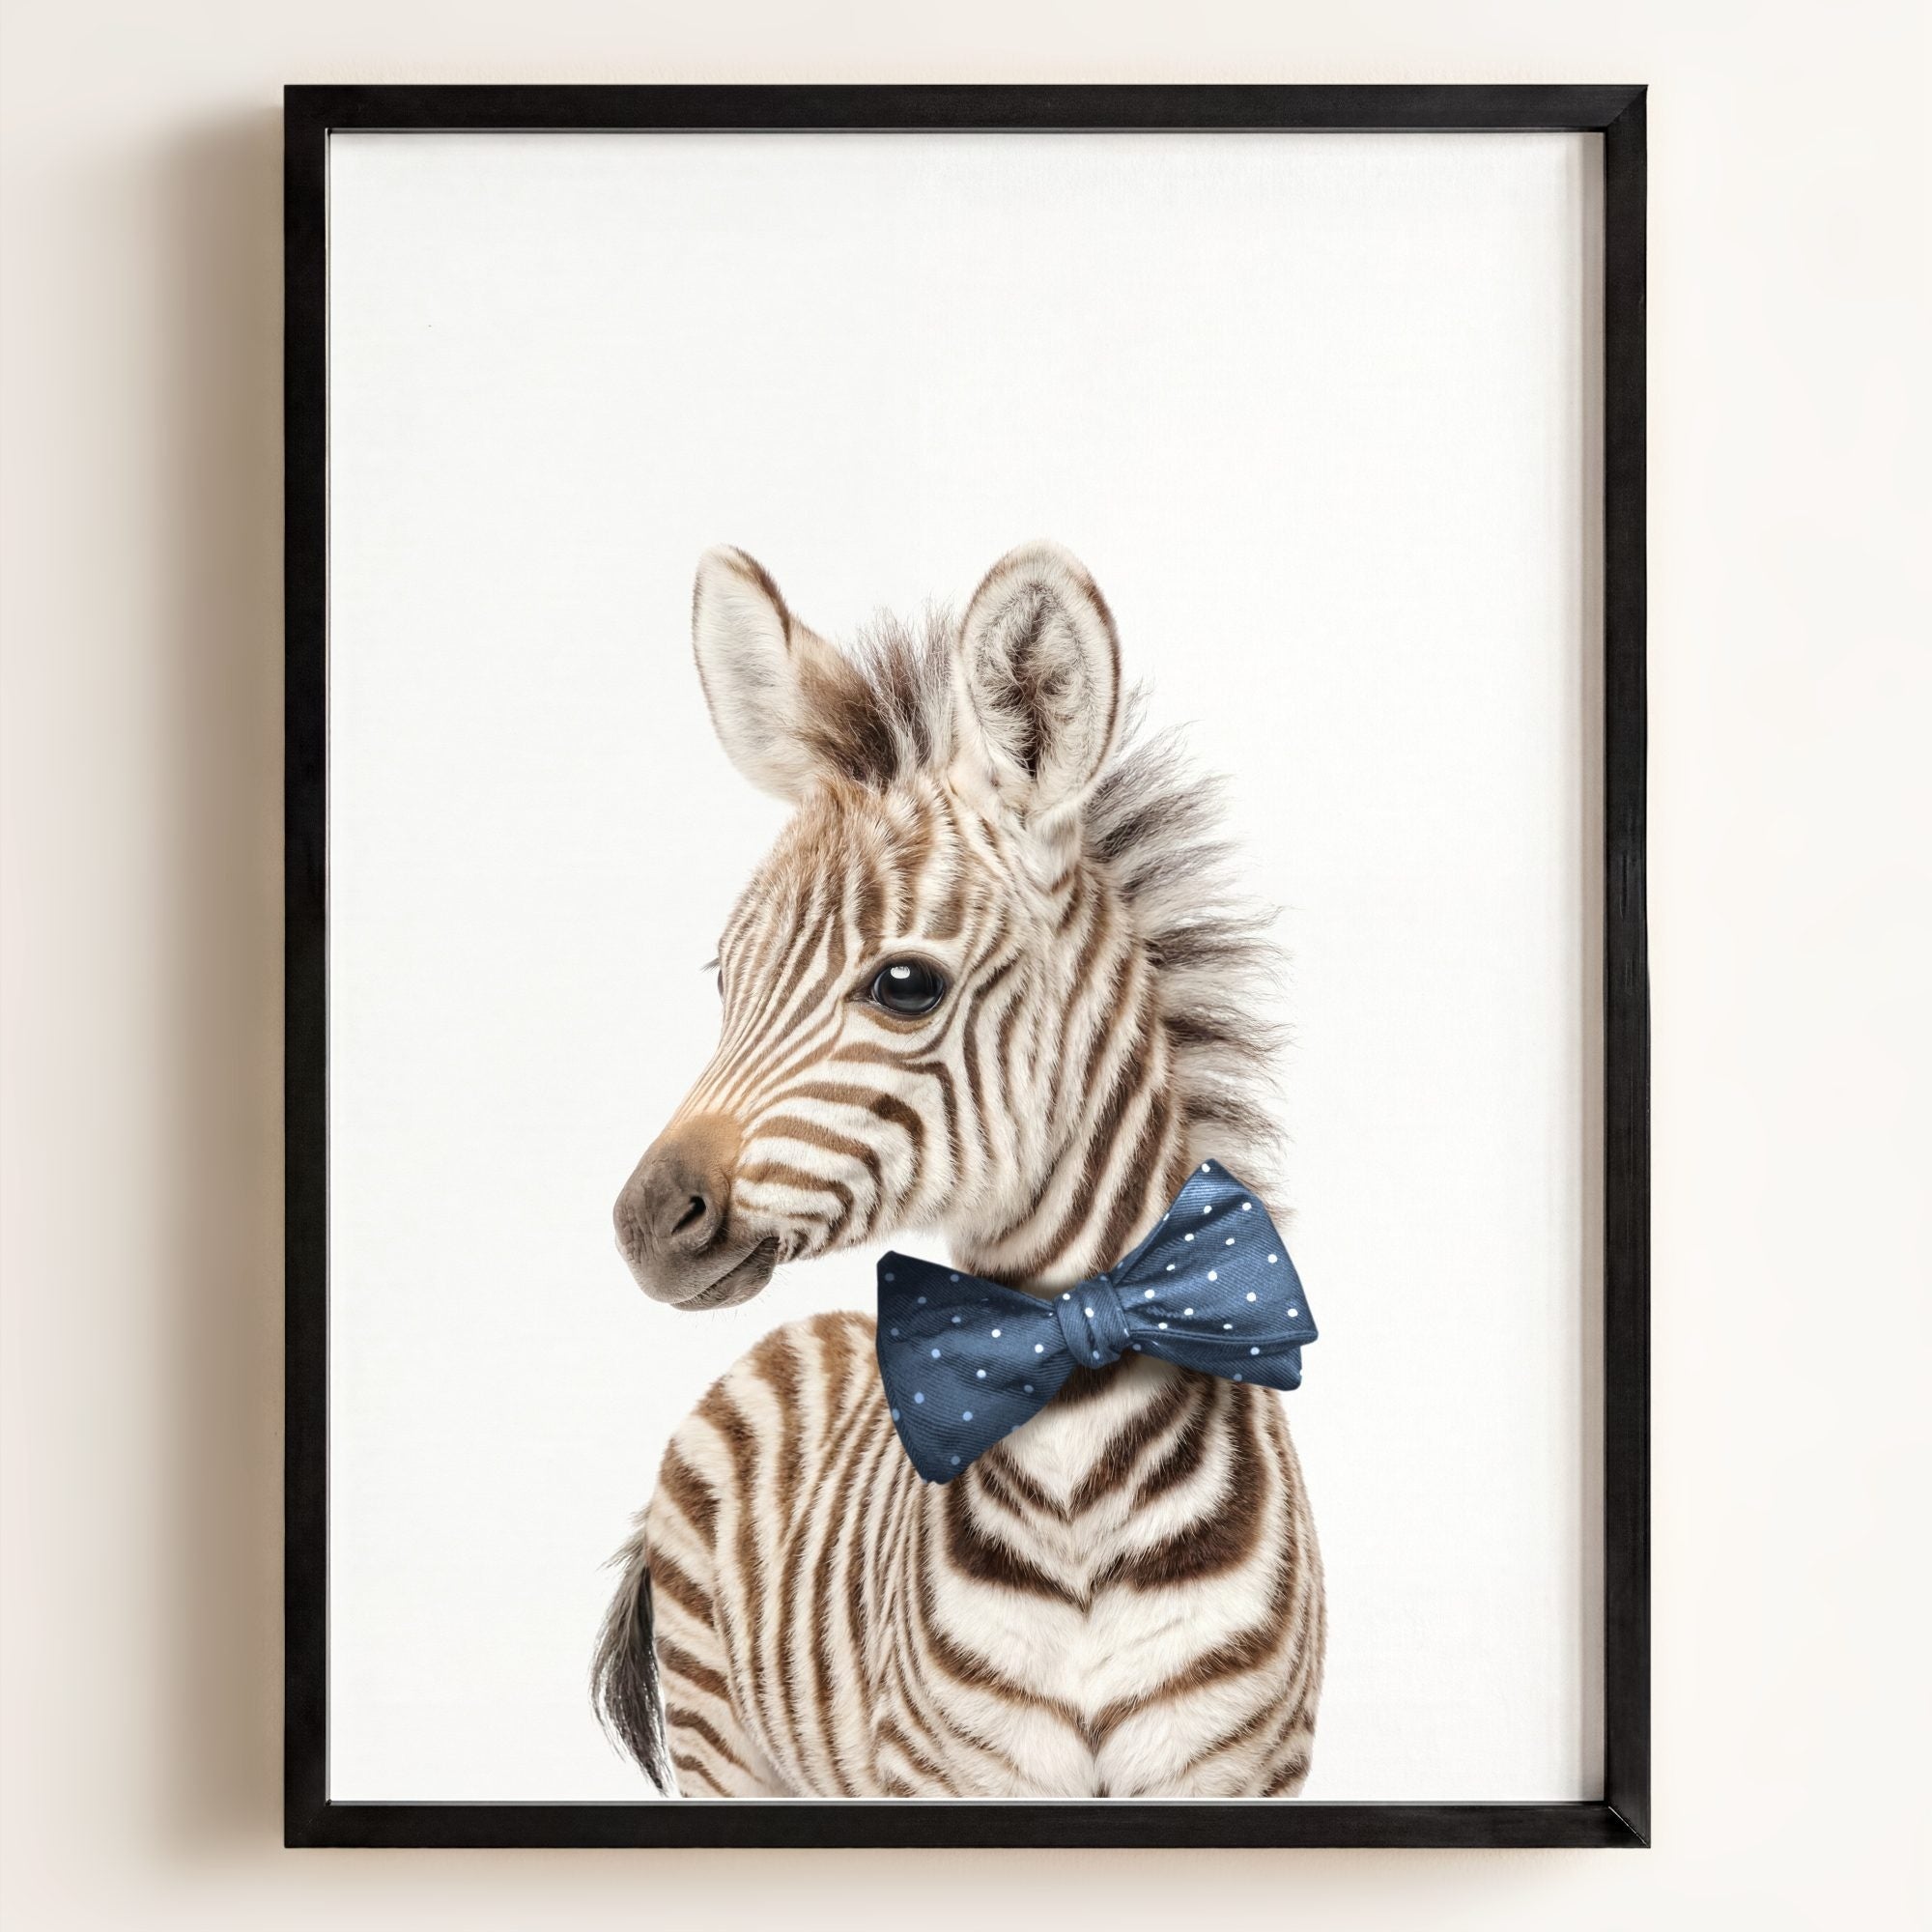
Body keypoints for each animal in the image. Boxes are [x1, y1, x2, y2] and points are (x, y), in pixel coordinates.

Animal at [593, 541, 1323, 1798]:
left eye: (904, 985)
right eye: (725, 976)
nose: (646, 1219)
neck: (1078, 1478)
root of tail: (799, 1334)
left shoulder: (1237, 1771)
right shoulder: (946, 1775)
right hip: (724, 1745)